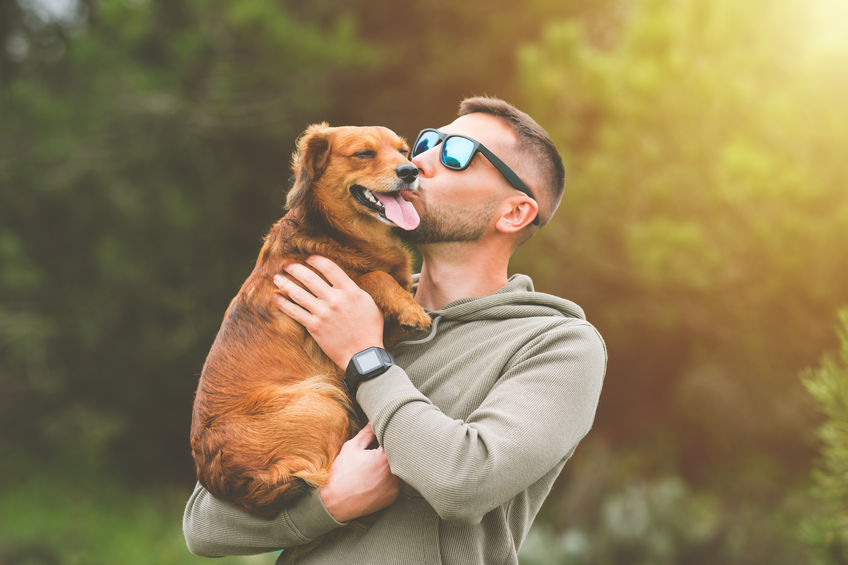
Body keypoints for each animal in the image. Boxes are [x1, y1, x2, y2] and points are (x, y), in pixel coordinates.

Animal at [191, 123, 430, 520]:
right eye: (364, 153)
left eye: (404, 151)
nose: (411, 172)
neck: (342, 234)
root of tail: (232, 482)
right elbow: (375, 278)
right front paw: (411, 309)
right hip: (323, 402)